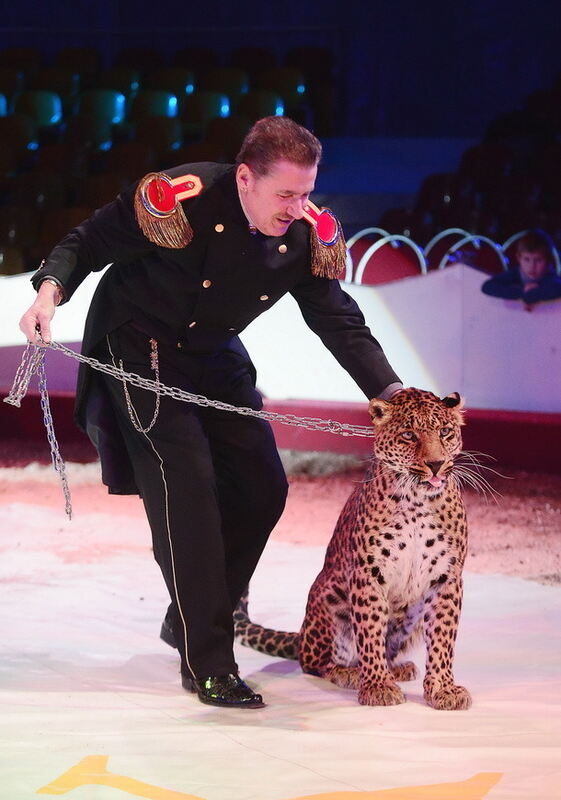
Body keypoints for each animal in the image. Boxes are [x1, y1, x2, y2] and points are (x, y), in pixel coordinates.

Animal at [233, 390, 472, 708]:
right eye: (409, 435)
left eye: (445, 432)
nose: (436, 464)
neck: (417, 500)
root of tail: (301, 635)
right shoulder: (369, 572)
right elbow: (369, 631)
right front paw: (377, 686)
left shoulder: (447, 576)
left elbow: (443, 638)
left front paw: (443, 688)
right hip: (328, 597)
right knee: (316, 663)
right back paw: (350, 672)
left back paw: (397, 668)